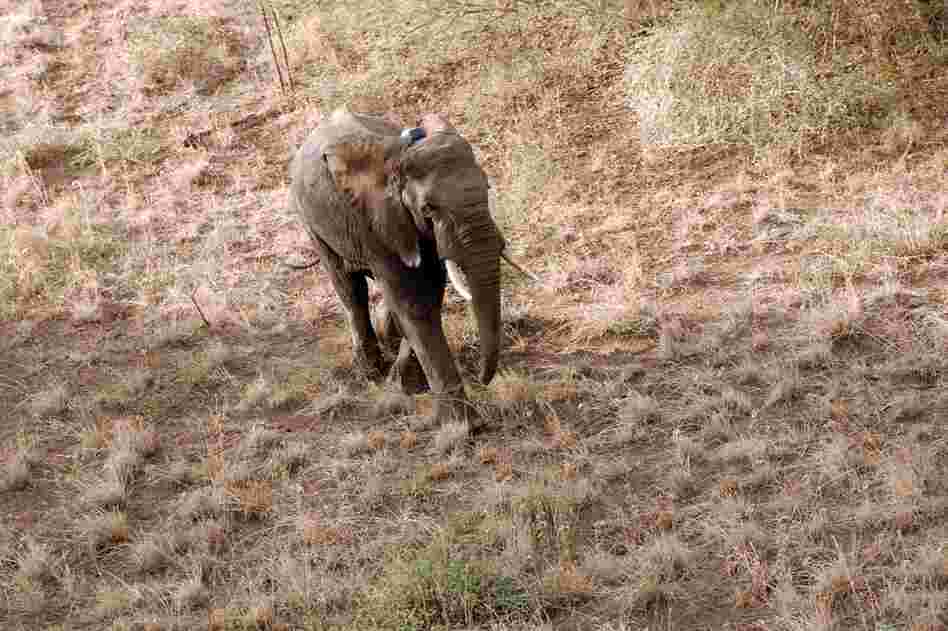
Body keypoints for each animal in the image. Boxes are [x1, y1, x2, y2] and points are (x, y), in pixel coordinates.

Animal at [288, 108, 535, 420]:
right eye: (429, 208)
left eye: (487, 188)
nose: (482, 379)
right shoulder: (375, 219)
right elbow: (412, 301)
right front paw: (465, 423)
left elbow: (431, 290)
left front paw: (411, 385)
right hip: (310, 221)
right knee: (349, 287)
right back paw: (371, 372)